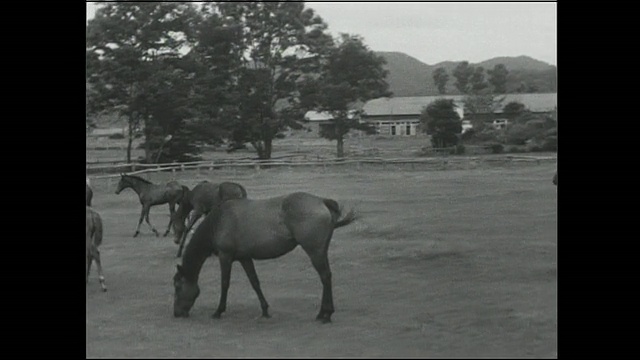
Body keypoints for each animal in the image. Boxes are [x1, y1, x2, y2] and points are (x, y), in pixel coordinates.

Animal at [172, 191, 358, 324]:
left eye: (177, 287)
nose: (177, 313)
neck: (218, 221)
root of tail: (321, 201)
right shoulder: (245, 258)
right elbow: (255, 282)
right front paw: (265, 310)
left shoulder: (225, 256)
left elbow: (225, 284)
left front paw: (218, 311)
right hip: (321, 251)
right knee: (327, 276)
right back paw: (323, 313)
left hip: (314, 251)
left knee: (325, 277)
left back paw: (326, 315)